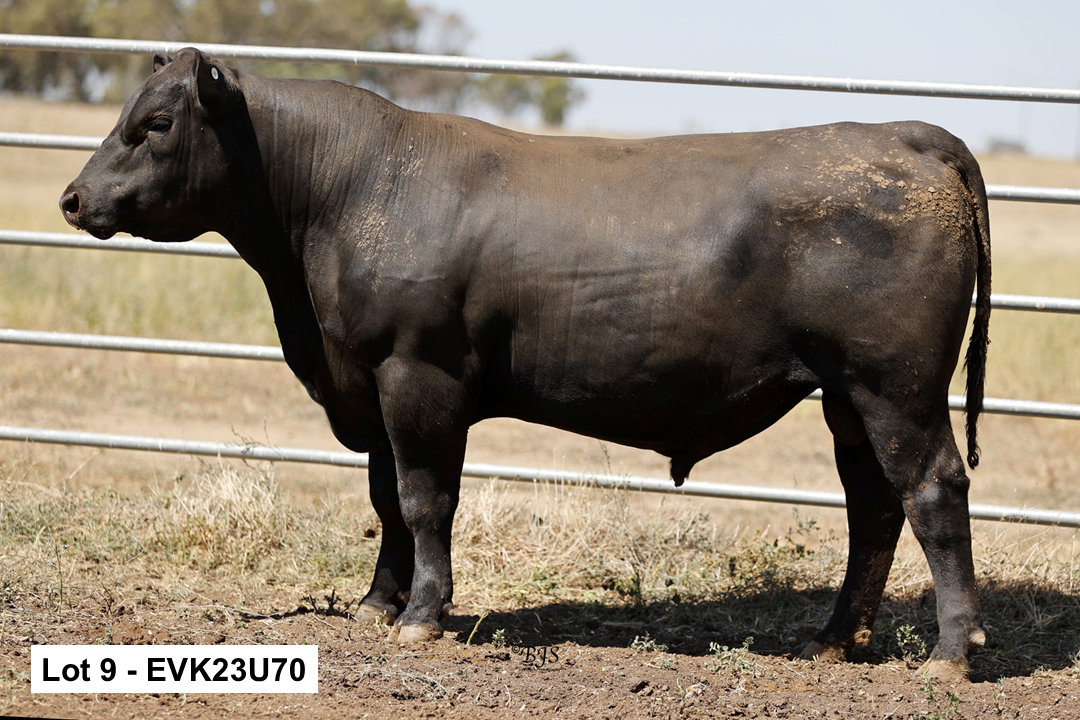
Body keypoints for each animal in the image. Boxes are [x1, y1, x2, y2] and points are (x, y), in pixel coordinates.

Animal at [61, 49, 991, 681]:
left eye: (154, 125)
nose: (73, 198)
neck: (340, 200)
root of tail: (904, 133)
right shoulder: (368, 388)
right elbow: (385, 501)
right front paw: (375, 603)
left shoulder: (418, 375)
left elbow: (425, 499)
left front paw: (423, 613)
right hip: (846, 395)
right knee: (873, 504)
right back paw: (833, 640)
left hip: (895, 385)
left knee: (932, 490)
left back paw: (950, 651)